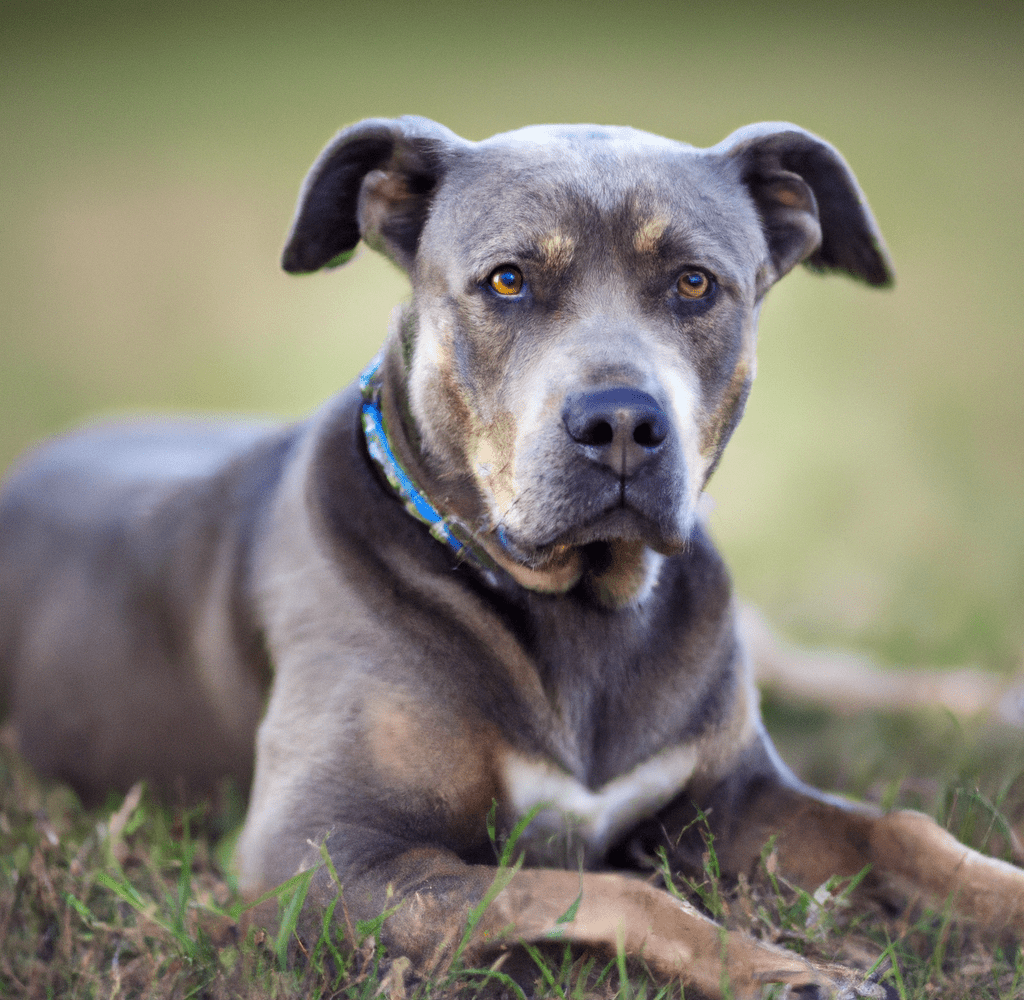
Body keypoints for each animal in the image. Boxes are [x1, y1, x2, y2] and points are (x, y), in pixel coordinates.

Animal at [2, 119, 1024, 998]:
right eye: (506, 280)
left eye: (696, 283)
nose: (622, 423)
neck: (578, 609)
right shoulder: (316, 858)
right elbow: (604, 888)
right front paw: (781, 970)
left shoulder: (733, 797)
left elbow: (904, 829)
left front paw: (1001, 894)